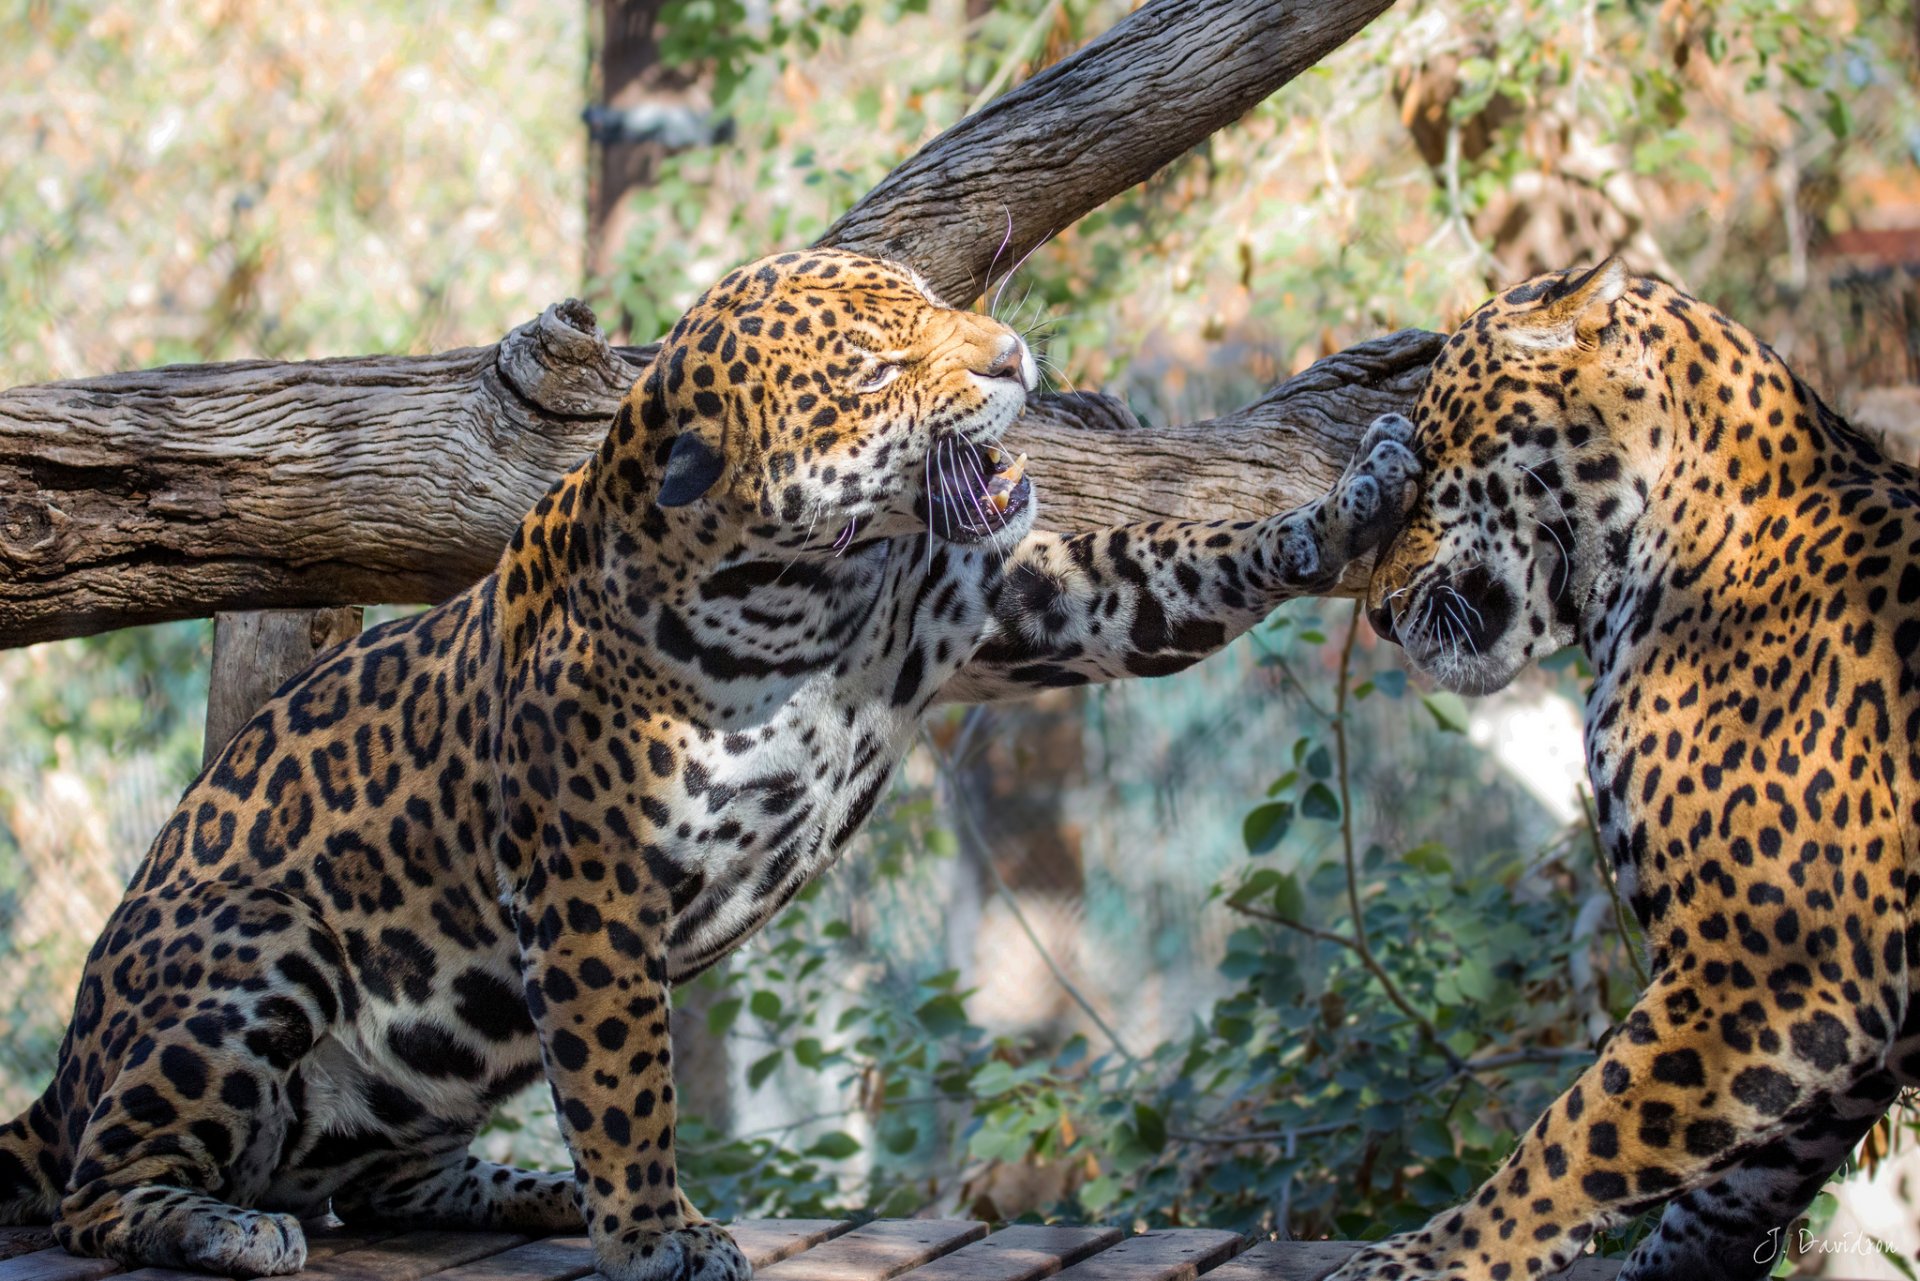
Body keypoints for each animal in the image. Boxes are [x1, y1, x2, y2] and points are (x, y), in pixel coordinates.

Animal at [0, 247, 1420, 1281]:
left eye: (934, 303)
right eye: (877, 367)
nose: (1014, 356)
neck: (807, 592)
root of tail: (63, 1077)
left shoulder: (1024, 605)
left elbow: (1180, 567)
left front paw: (1353, 497)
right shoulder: (589, 890)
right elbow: (626, 1077)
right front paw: (653, 1233)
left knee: (389, 1181)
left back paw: (533, 1190)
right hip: (259, 948)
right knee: (100, 1193)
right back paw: (226, 1226)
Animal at [1343, 257, 1920, 1281]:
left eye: (1432, 457)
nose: (1375, 613)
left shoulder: (1775, 963)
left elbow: (1575, 1138)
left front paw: (1433, 1256)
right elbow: (1731, 1193)